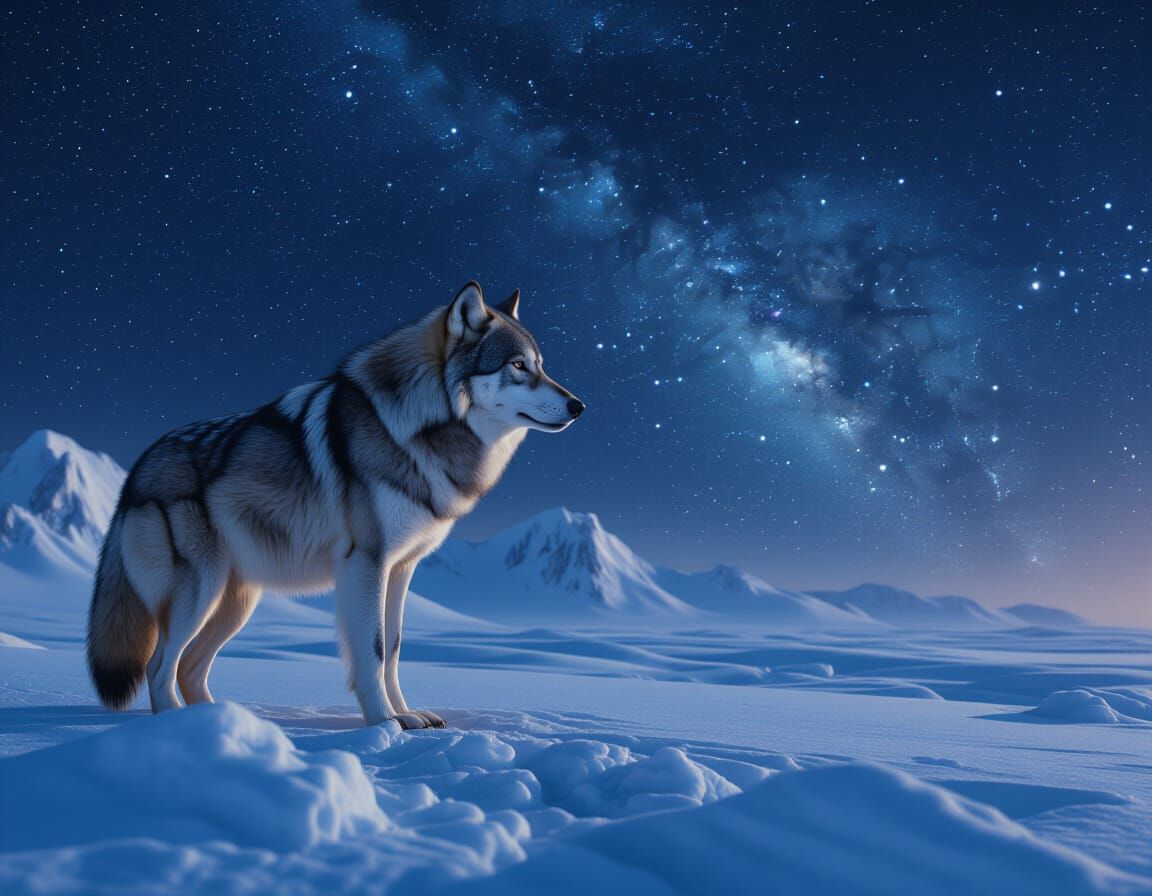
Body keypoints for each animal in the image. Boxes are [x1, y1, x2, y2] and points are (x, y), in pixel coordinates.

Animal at [86, 282, 584, 729]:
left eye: (542, 366)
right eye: (518, 366)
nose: (578, 405)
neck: (418, 426)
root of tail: (135, 471)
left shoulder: (402, 568)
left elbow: (394, 647)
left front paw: (407, 714)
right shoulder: (366, 562)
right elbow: (373, 649)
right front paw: (384, 721)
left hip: (235, 604)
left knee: (188, 668)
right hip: (200, 592)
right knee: (158, 668)